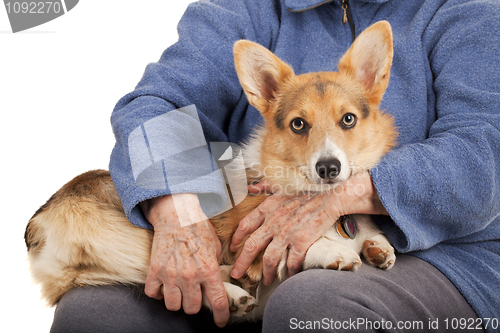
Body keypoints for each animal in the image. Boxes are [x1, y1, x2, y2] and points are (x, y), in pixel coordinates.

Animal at [24, 21, 398, 322]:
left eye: (348, 119)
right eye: (298, 124)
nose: (328, 168)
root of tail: (42, 217)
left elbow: (372, 237)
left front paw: (377, 247)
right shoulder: (254, 243)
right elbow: (304, 246)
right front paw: (334, 252)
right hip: (144, 239)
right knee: (165, 280)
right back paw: (231, 295)